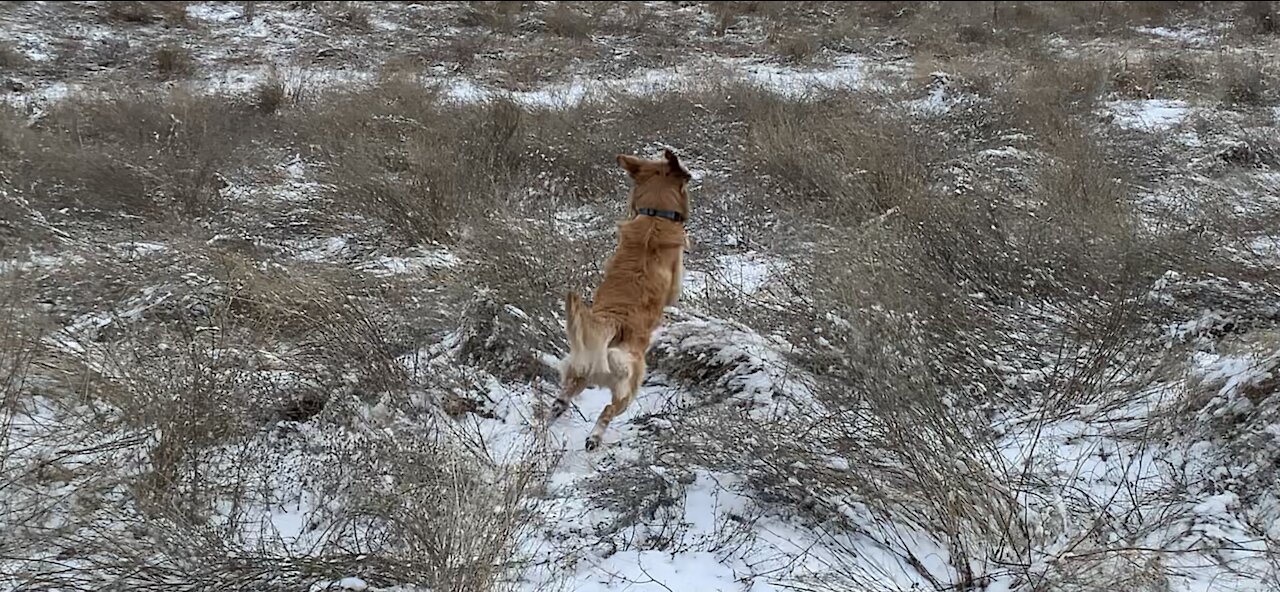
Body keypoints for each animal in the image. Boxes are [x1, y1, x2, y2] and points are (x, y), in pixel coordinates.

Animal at [550, 146, 691, 448]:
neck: (655, 215)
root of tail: (612, 325)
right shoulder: (675, 281)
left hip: (579, 367)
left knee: (564, 396)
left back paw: (556, 411)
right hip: (629, 383)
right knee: (608, 409)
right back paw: (594, 437)